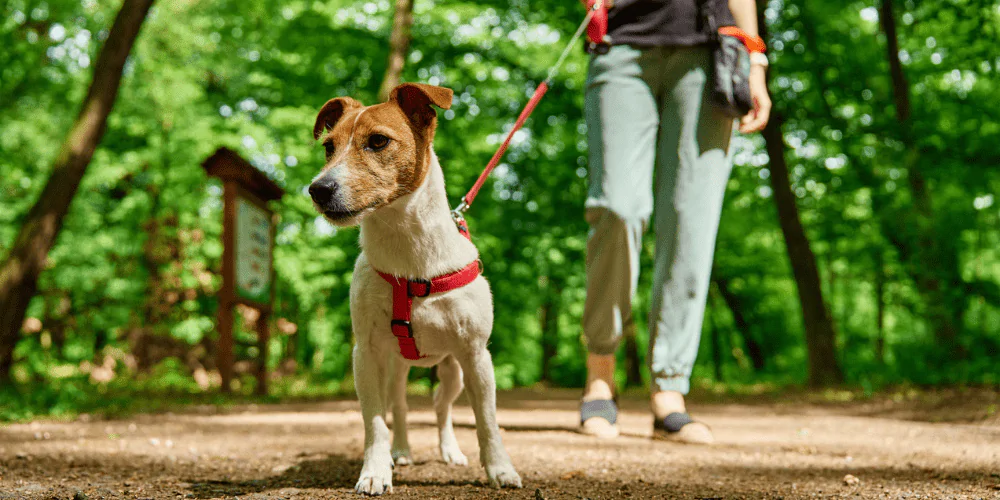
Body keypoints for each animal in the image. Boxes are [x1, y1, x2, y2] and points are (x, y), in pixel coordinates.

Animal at [306, 84, 524, 494]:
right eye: (329, 146)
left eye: (378, 141)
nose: (317, 189)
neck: (409, 255)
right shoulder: (365, 355)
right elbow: (375, 422)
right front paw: (375, 470)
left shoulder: (476, 356)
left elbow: (487, 421)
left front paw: (500, 469)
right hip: (395, 369)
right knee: (401, 407)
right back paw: (402, 451)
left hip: (454, 371)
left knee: (441, 406)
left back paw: (449, 450)